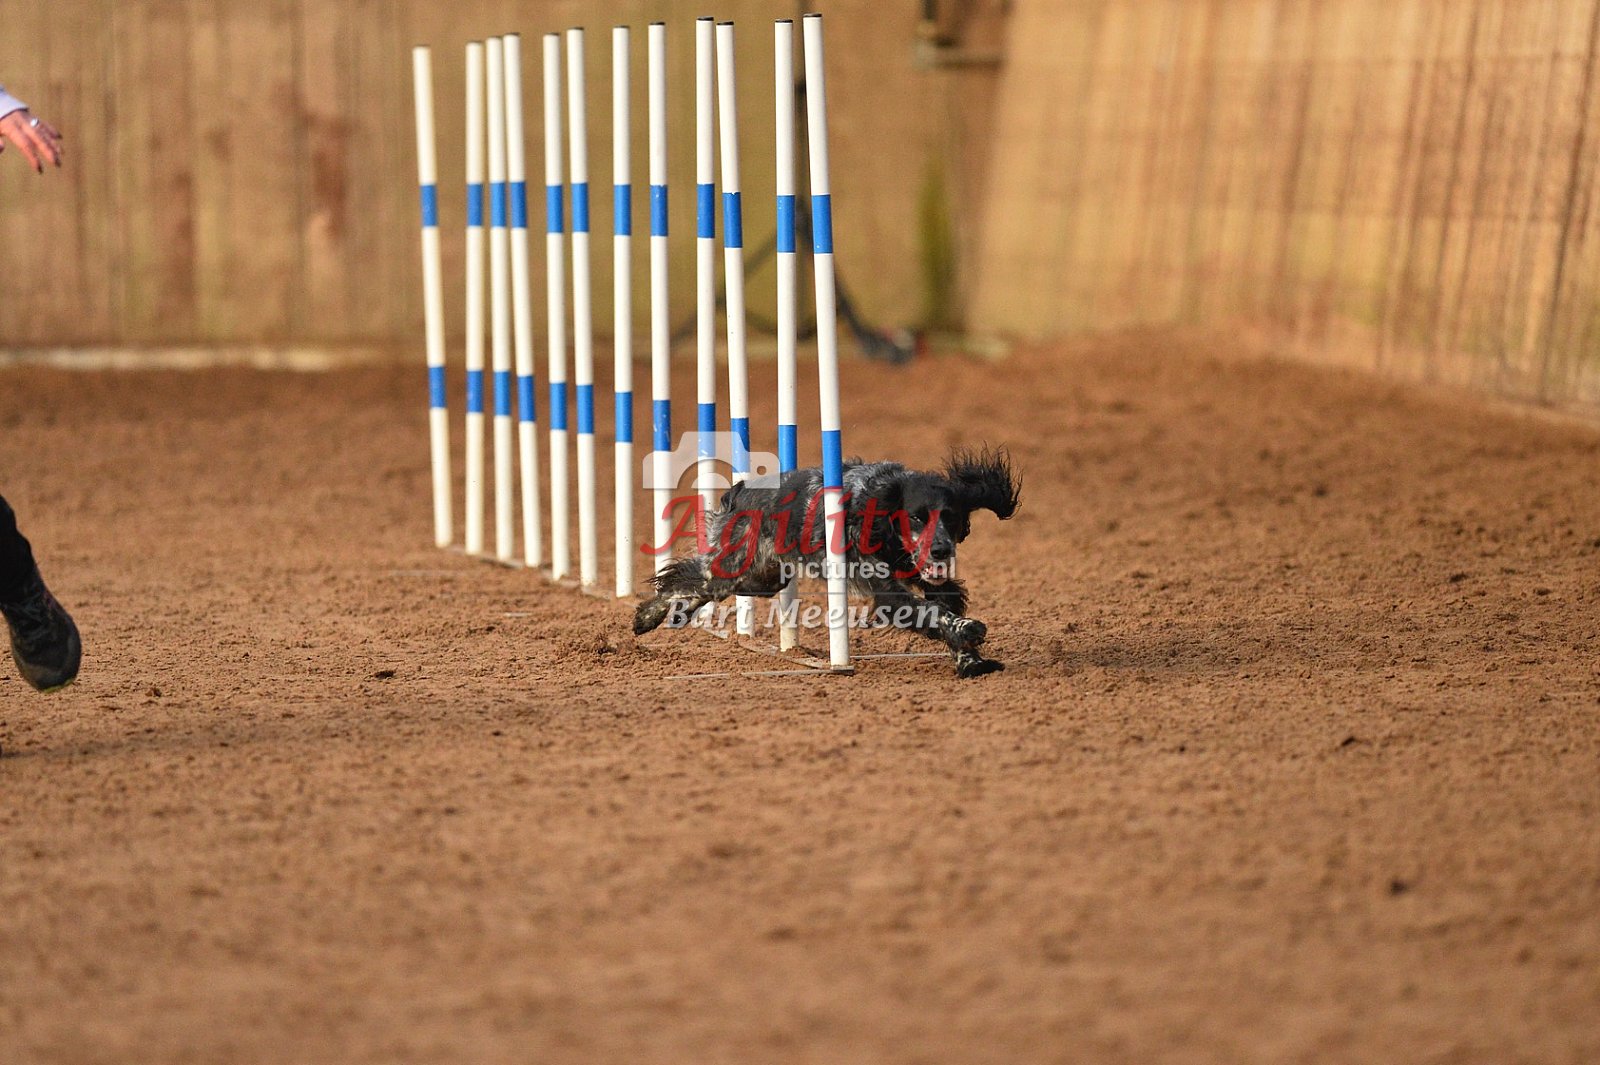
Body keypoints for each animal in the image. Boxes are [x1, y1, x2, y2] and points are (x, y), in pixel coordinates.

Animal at [633, 447, 1021, 677]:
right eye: (916, 517)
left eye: (951, 517)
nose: (940, 550)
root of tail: (739, 491)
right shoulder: (888, 593)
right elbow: (934, 614)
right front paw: (969, 632)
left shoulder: (931, 579)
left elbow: (945, 606)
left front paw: (971, 660)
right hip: (735, 564)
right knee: (686, 577)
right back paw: (646, 617)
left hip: (764, 578)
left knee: (698, 585)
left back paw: (675, 614)